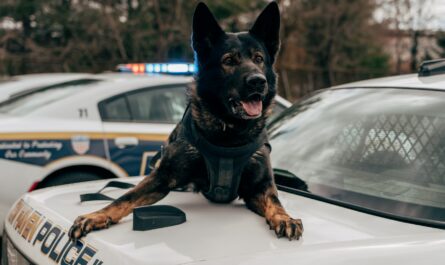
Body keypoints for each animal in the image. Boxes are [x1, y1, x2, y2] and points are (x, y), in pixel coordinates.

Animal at [68, 1, 302, 239]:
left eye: (259, 59)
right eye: (228, 61)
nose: (258, 81)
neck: (229, 135)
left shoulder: (261, 187)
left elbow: (275, 202)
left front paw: (285, 218)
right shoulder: (162, 177)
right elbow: (125, 197)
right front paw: (97, 215)